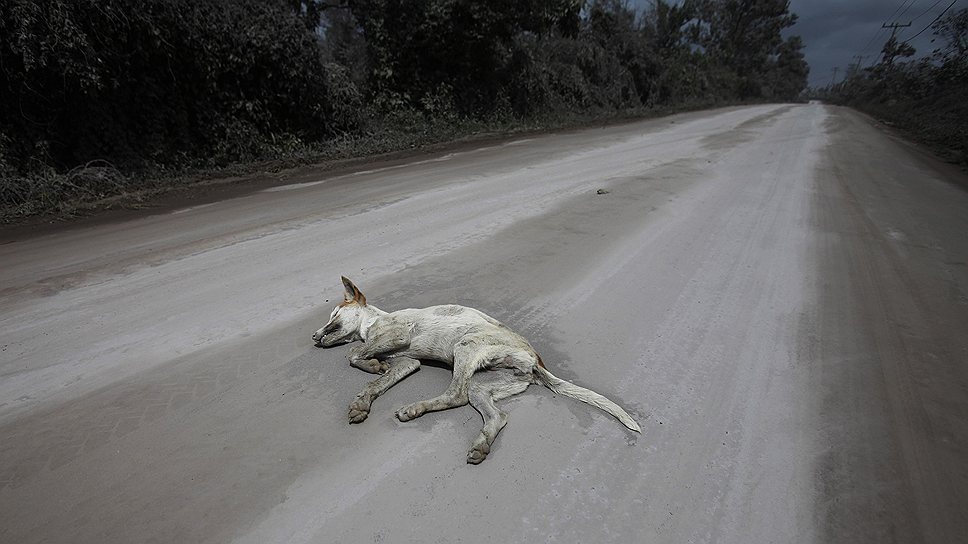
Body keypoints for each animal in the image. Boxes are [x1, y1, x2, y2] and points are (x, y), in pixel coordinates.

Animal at [312, 276, 644, 464]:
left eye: (334, 314)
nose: (314, 337)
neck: (372, 324)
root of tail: (535, 360)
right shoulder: (408, 362)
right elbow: (374, 382)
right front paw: (362, 400)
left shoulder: (399, 336)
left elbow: (354, 353)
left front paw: (371, 365)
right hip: (486, 384)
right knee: (497, 415)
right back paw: (481, 446)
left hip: (465, 346)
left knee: (455, 395)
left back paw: (415, 408)